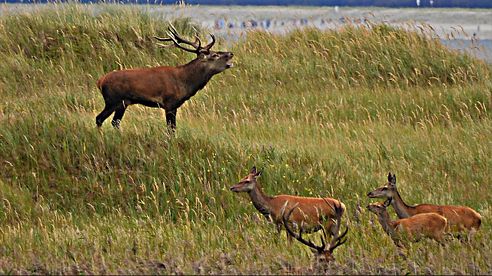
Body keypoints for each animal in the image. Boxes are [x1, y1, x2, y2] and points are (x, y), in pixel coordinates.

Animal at [97, 24, 234, 130]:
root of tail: (100, 81)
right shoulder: (170, 103)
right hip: (112, 100)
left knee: (115, 122)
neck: (185, 82)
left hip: (122, 103)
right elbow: (171, 128)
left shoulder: (174, 105)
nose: (230, 53)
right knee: (99, 118)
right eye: (215, 55)